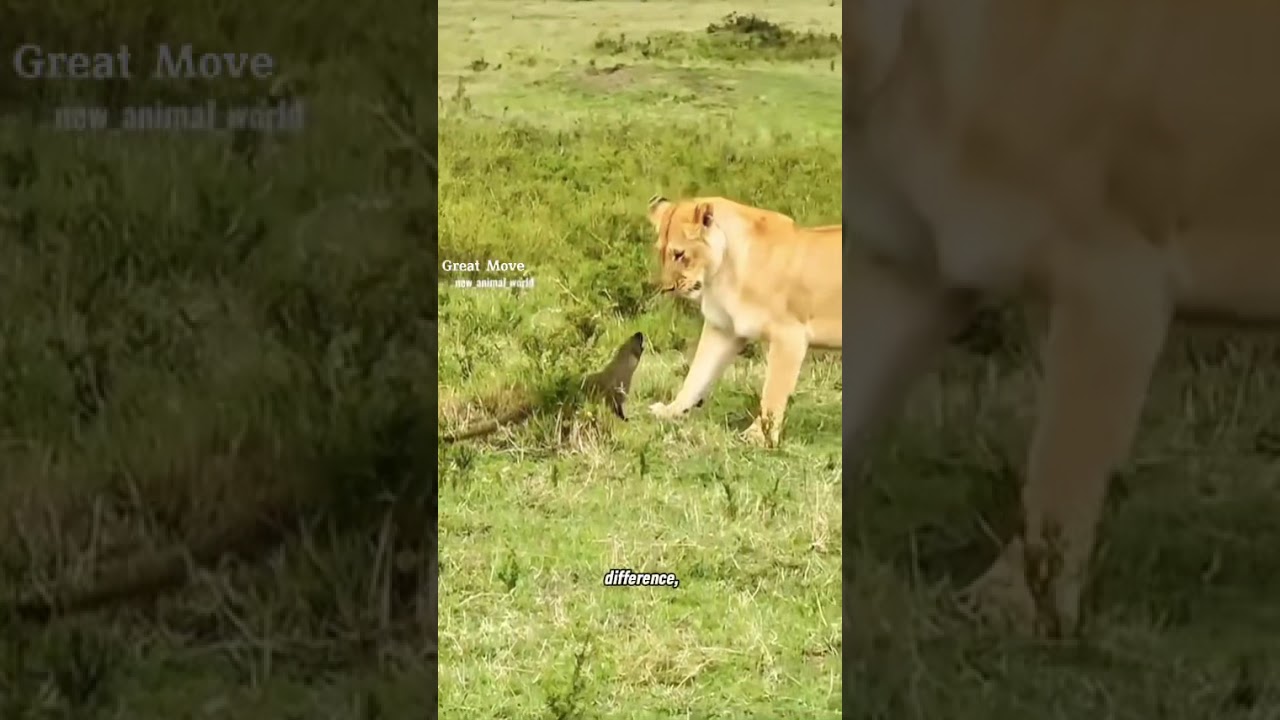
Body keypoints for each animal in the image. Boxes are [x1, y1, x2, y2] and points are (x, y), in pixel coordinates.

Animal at [645, 195, 841, 447]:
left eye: (679, 254)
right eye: (660, 252)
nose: (667, 288)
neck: (722, 272)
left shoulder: (790, 336)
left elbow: (772, 392)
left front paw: (758, 436)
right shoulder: (722, 329)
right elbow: (697, 375)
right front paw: (670, 411)